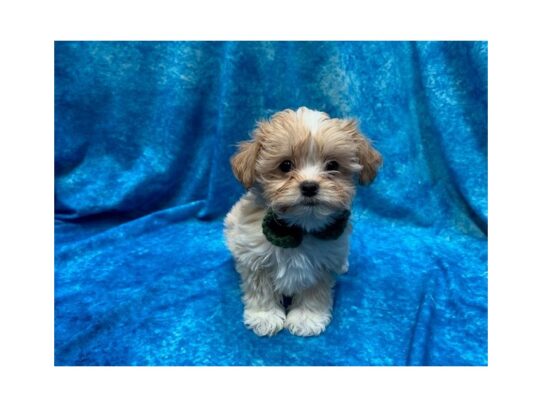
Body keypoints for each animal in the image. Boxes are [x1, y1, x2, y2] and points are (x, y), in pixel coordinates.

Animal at [225, 107, 382, 336]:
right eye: (285, 165)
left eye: (333, 165)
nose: (309, 186)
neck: (300, 229)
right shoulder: (255, 257)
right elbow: (261, 290)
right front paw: (265, 317)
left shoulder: (323, 263)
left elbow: (314, 292)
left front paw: (307, 318)